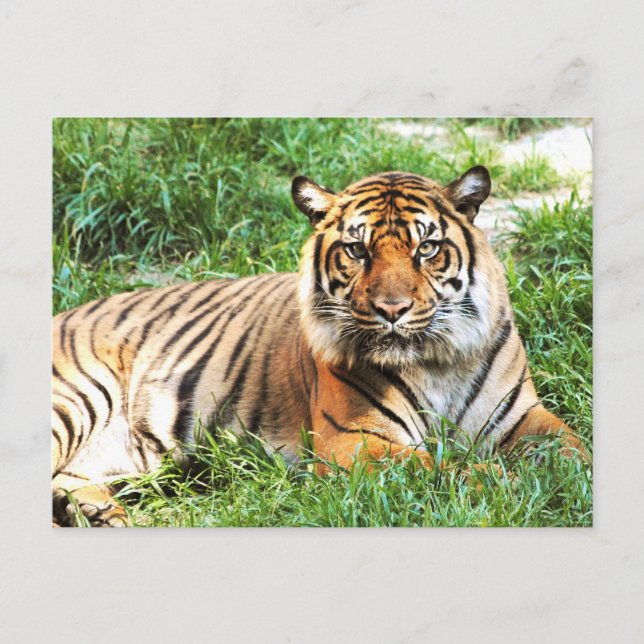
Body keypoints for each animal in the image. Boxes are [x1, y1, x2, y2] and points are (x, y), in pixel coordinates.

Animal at [52, 165, 584, 526]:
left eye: (426, 248)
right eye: (357, 250)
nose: (392, 309)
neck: (437, 362)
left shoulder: (522, 416)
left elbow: (574, 448)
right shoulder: (353, 440)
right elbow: (444, 467)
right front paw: (511, 483)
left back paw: (98, 516)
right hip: (75, 400)